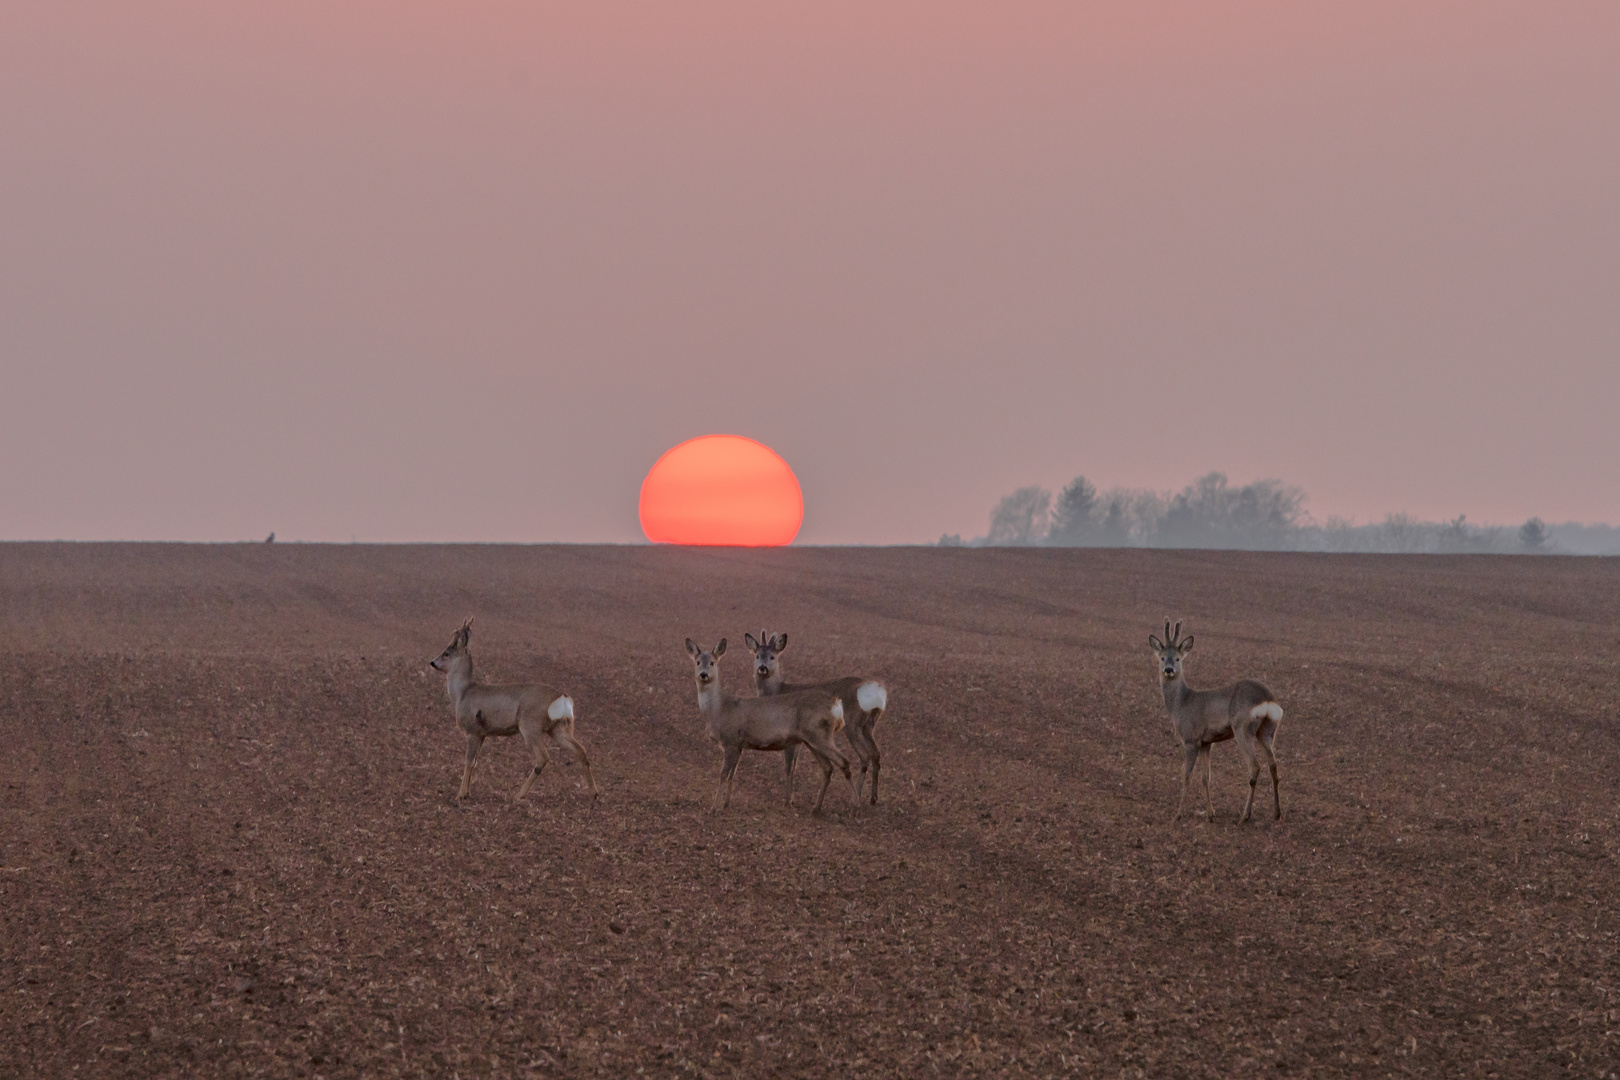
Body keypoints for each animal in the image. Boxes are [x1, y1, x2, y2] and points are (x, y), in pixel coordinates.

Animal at [430, 615, 602, 803]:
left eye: (446, 653)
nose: (432, 662)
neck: (463, 692)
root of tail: (563, 698)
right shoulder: (482, 734)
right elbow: (475, 762)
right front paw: (467, 792)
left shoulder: (473, 731)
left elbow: (468, 762)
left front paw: (461, 795)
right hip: (560, 729)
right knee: (581, 751)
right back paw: (594, 793)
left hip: (530, 726)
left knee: (543, 757)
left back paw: (519, 794)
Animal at [686, 637, 861, 816]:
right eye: (697, 662)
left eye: (712, 662)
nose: (703, 674)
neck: (719, 709)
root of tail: (836, 704)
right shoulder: (739, 745)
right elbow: (732, 774)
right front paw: (726, 804)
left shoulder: (730, 741)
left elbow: (723, 774)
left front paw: (714, 808)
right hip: (812, 739)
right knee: (828, 768)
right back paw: (816, 808)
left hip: (819, 735)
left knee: (844, 761)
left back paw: (855, 806)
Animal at [741, 634, 894, 803]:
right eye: (757, 656)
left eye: (772, 656)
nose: (762, 667)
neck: (778, 691)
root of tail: (876, 691)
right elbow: (793, 765)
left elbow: (788, 766)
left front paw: (788, 800)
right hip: (868, 725)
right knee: (875, 754)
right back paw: (872, 798)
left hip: (852, 724)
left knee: (865, 756)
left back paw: (856, 797)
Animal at [1146, 621, 1283, 822]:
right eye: (1162, 658)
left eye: (1178, 659)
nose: (1168, 670)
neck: (1181, 703)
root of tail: (1267, 700)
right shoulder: (1206, 743)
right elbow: (1205, 777)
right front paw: (1211, 814)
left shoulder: (1191, 739)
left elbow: (1186, 775)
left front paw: (1178, 814)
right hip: (1267, 730)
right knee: (1273, 765)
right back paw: (1276, 813)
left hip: (1242, 728)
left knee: (1255, 766)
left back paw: (1245, 815)